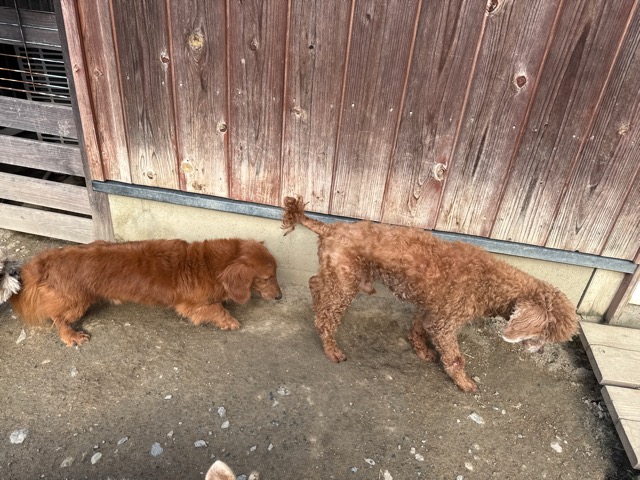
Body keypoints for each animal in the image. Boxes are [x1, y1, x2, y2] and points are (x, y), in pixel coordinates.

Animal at [0, 238, 282, 346]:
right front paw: (229, 320)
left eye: (276, 274)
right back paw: (71, 335)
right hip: (76, 302)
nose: (280, 297)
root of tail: (43, 261)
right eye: (267, 278)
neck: (209, 264)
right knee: (57, 318)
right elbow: (216, 309)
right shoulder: (192, 305)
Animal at [282, 196, 578, 393]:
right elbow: (455, 358)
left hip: (338, 275)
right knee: (326, 316)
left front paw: (422, 351)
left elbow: (417, 329)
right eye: (544, 334)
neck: (491, 282)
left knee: (316, 284)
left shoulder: (429, 306)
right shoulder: (445, 323)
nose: (541, 350)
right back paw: (332, 349)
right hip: (345, 282)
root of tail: (331, 228)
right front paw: (465, 383)